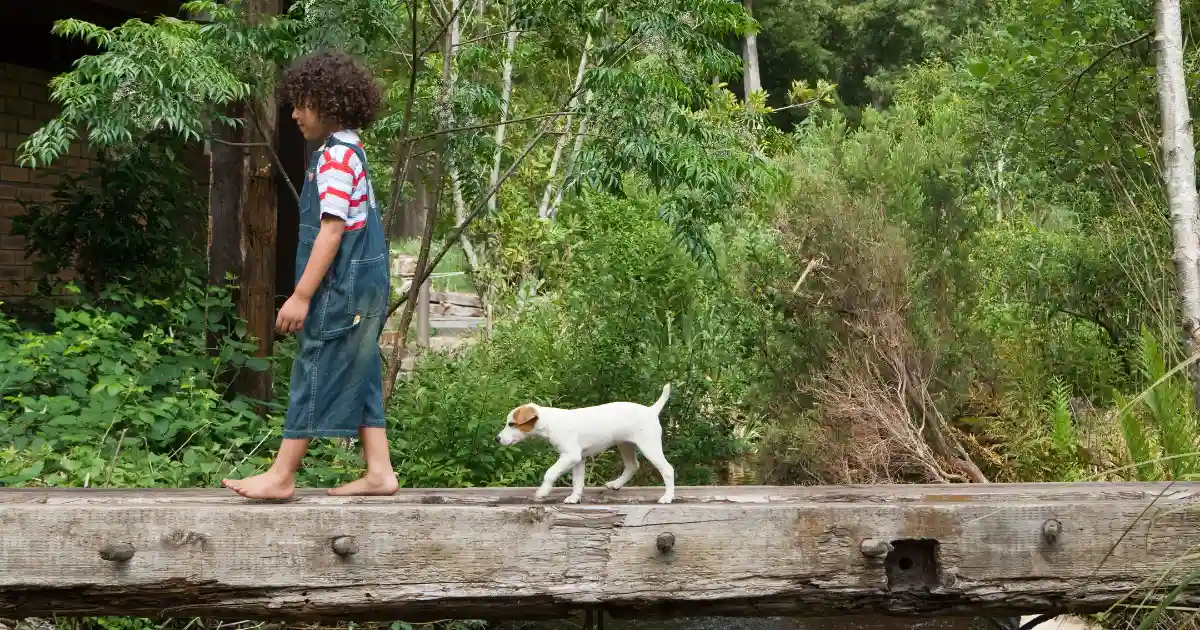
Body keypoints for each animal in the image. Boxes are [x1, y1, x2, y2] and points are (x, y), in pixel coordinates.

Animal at [492, 384, 672, 501]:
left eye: (511, 424)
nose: (497, 439)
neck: (551, 422)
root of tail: (651, 410)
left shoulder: (570, 456)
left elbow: (550, 472)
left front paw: (543, 492)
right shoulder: (578, 459)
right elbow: (577, 482)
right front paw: (574, 498)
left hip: (649, 447)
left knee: (668, 470)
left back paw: (667, 497)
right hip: (626, 444)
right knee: (632, 465)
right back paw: (616, 484)